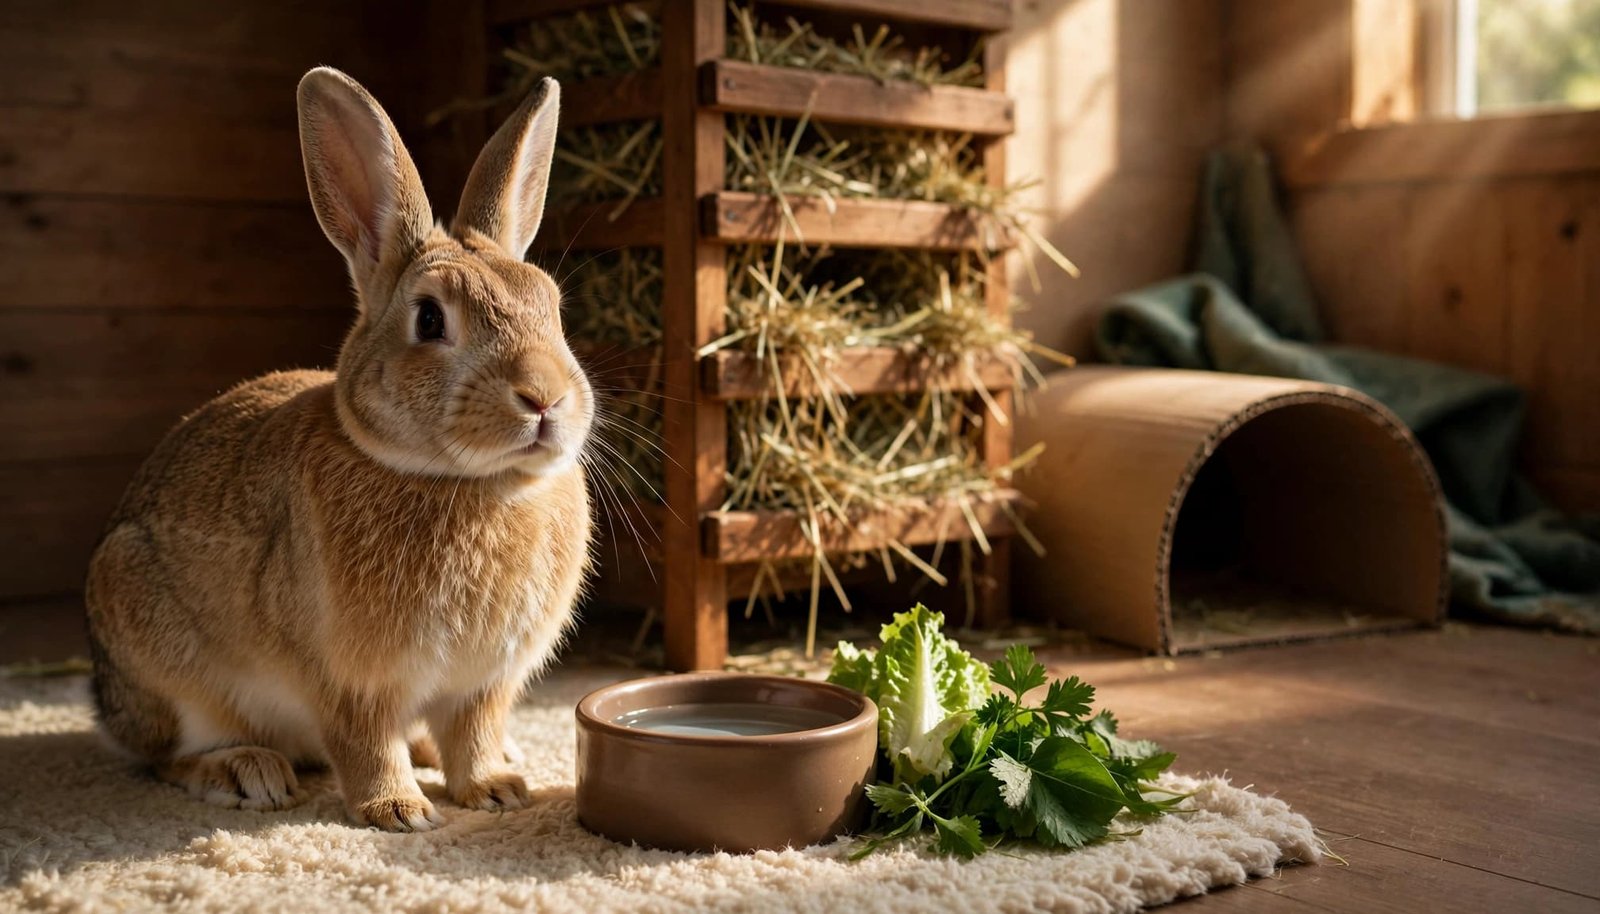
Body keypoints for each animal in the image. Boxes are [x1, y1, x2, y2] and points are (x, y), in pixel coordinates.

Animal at [82, 66, 594, 832]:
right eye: (430, 319)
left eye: (553, 309)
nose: (545, 399)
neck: (470, 482)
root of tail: (105, 700)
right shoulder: (349, 681)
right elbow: (365, 742)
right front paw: (399, 812)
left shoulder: (484, 684)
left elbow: (472, 734)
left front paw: (495, 790)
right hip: (155, 649)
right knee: (165, 755)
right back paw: (246, 773)